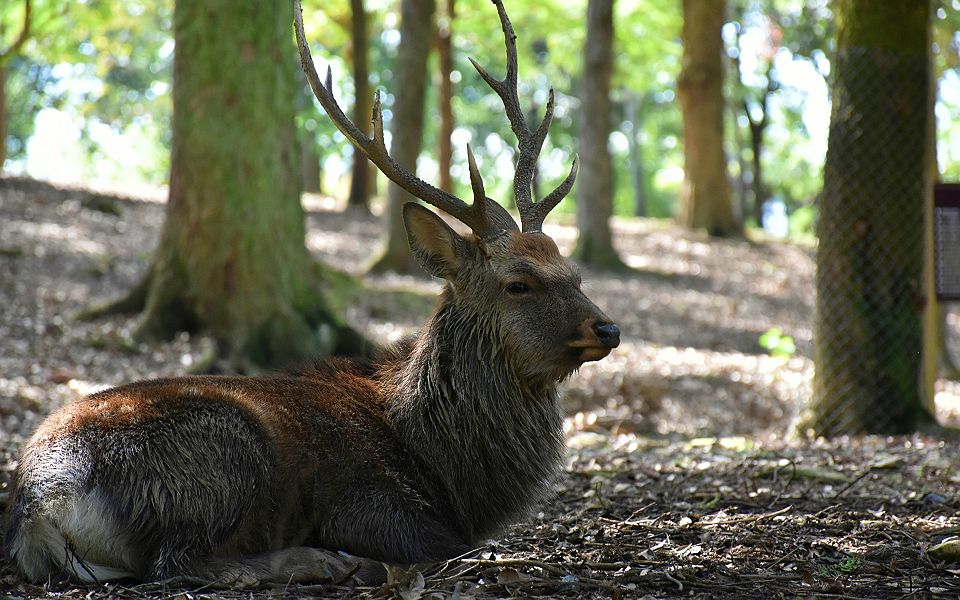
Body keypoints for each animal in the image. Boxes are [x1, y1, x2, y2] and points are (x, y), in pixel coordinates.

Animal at [3, 0, 624, 584]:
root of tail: (38, 507)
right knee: (182, 563)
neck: (448, 471)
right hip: (223, 451)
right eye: (518, 283)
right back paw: (326, 562)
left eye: (573, 271)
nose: (609, 327)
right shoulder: (371, 503)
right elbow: (445, 544)